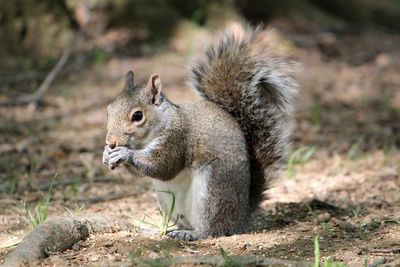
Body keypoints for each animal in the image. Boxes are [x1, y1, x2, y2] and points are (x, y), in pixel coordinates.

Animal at [101, 22, 298, 241]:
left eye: (137, 116)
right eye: (109, 110)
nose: (111, 141)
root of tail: (242, 217)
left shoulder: (176, 138)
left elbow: (163, 166)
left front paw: (124, 153)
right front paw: (107, 154)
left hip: (212, 192)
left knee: (212, 229)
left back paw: (192, 234)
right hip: (167, 198)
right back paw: (165, 230)